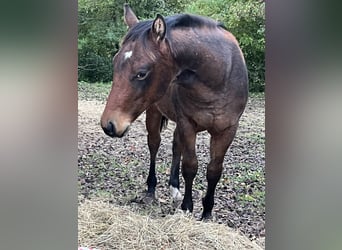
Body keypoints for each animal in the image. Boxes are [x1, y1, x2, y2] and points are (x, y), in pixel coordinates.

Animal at [100, 3, 247, 219]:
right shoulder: (187, 123)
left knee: (176, 145)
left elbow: (214, 170)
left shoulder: (227, 129)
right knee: (154, 144)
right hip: (154, 113)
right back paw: (152, 189)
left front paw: (207, 213)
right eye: (114, 62)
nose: (109, 125)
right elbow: (190, 165)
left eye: (142, 73)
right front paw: (187, 207)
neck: (217, 80)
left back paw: (174, 188)